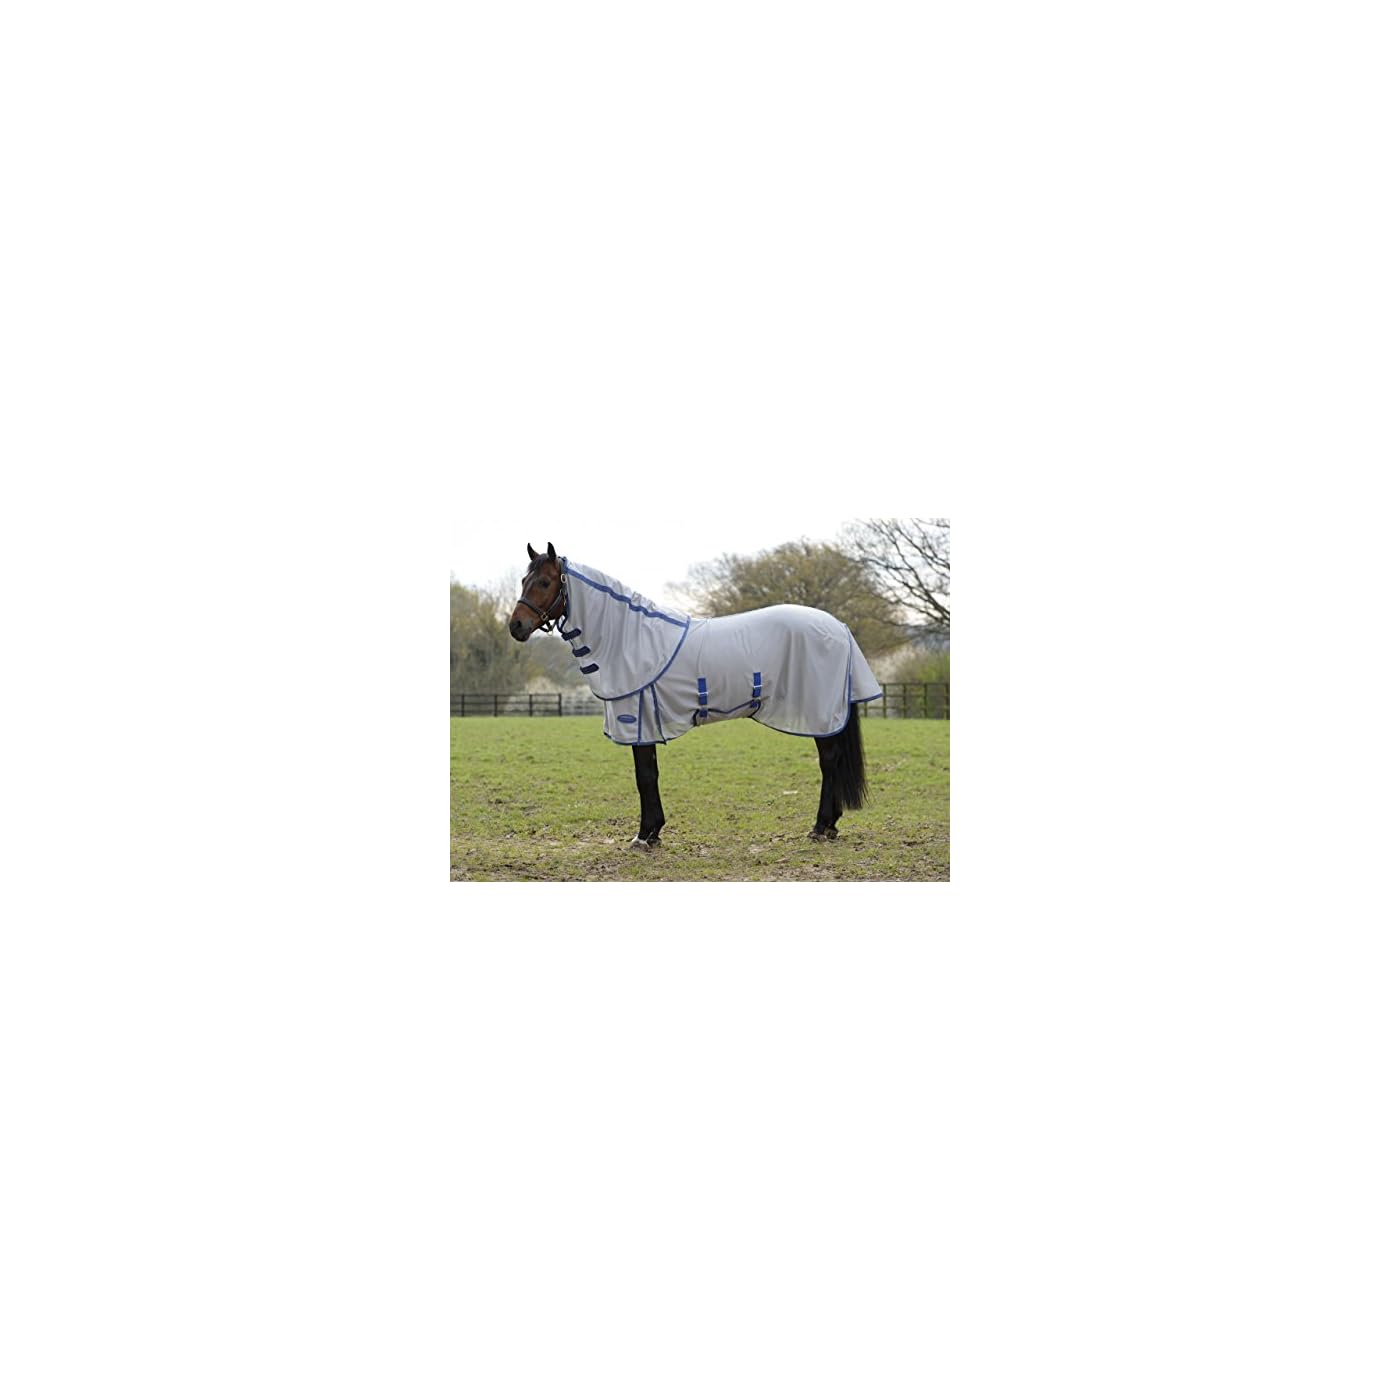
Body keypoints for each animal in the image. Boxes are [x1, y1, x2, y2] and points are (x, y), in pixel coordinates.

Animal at [508, 542, 882, 850]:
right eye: (524, 580)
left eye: (545, 582)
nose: (516, 626)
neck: (631, 638)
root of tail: (839, 627)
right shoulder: (647, 723)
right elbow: (650, 775)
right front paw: (654, 832)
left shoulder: (638, 721)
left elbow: (644, 777)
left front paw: (644, 835)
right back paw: (829, 826)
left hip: (820, 712)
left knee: (829, 762)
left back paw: (821, 827)